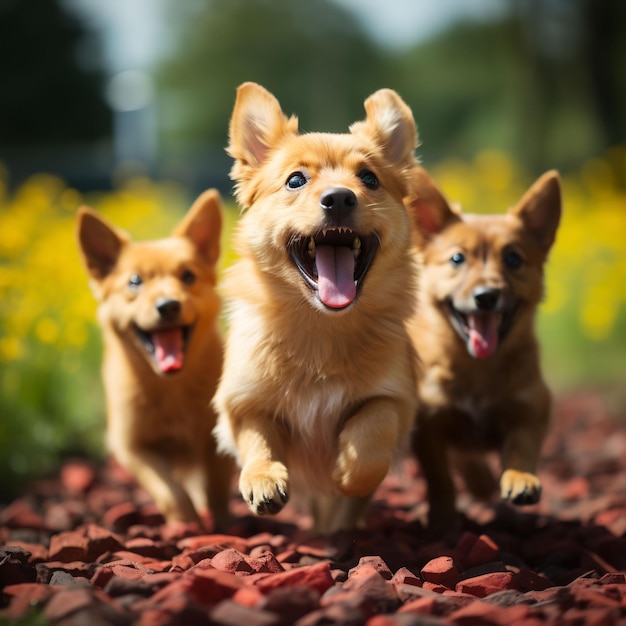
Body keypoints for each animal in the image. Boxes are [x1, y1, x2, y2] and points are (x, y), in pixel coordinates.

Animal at [76, 190, 232, 528]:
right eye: (135, 282)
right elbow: (169, 490)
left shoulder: (216, 439)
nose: (168, 305)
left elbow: (216, 482)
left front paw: (222, 519)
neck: (170, 387)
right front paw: (186, 524)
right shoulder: (133, 448)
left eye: (188, 276)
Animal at [211, 83, 420, 532]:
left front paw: (348, 469)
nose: (339, 197)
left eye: (369, 178)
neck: (322, 328)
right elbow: (257, 437)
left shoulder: (397, 398)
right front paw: (264, 479)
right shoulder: (242, 402)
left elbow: (375, 427)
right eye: (295, 180)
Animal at [404, 166, 560, 528]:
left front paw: (520, 478)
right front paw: (443, 519)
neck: (478, 368)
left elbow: (521, 447)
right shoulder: (428, 427)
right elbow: (440, 477)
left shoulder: (532, 407)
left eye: (513, 259)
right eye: (457, 258)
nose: (486, 296)